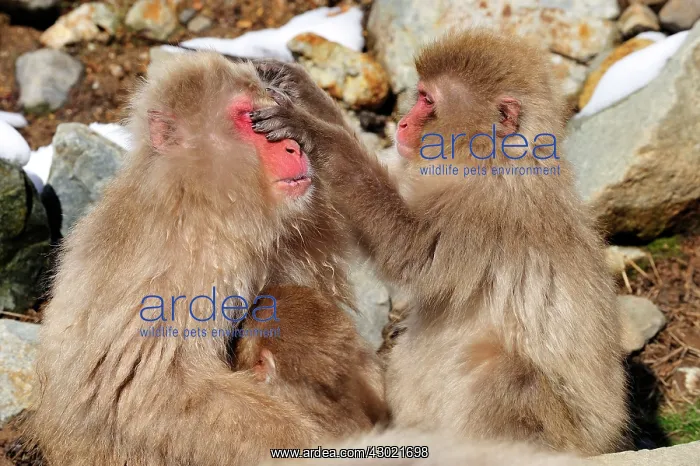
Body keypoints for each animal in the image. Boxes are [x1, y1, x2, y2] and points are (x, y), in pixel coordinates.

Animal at [24, 52, 370, 466]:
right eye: (249, 119)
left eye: (270, 112)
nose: (294, 148)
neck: (207, 198)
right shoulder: (183, 265)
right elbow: (151, 390)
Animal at [250, 30, 629, 455]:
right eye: (418, 96)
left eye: (428, 101)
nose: (402, 123)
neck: (489, 160)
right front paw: (299, 87)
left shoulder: (483, 211)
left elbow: (407, 249)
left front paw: (314, 134)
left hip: (565, 434)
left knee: (507, 374)